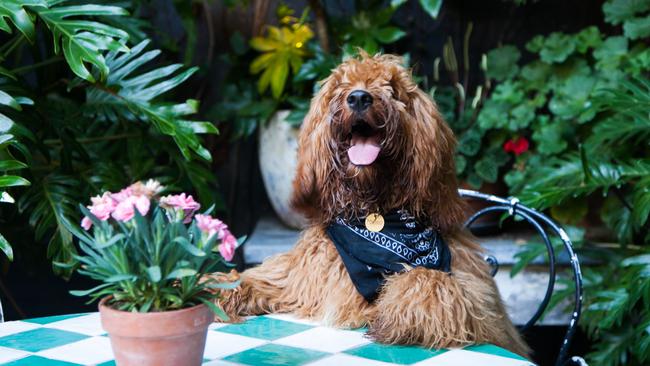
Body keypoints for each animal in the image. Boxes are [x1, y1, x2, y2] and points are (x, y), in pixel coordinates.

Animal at [215, 51, 528, 358]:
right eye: (341, 84)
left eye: (392, 87)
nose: (358, 98)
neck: (374, 212)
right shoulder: (297, 278)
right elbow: (253, 278)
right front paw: (212, 288)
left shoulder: (482, 308)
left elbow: (429, 278)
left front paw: (396, 312)